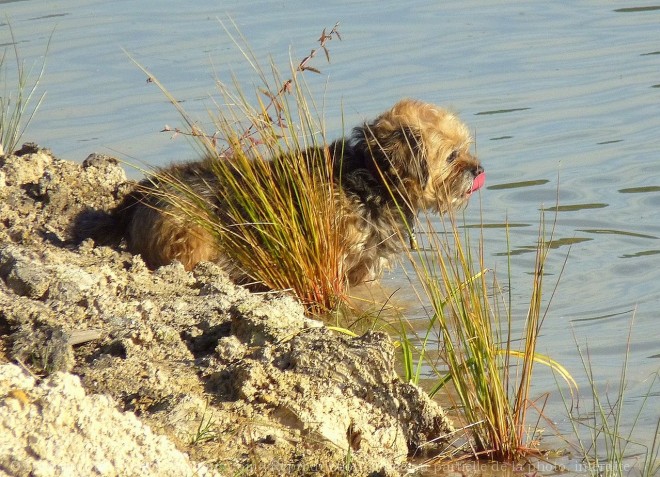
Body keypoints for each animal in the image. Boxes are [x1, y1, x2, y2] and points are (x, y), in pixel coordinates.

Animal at [75, 100, 484, 284]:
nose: (478, 170)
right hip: (192, 241)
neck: (370, 177)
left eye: (465, 148)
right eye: (452, 156)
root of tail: (138, 197)